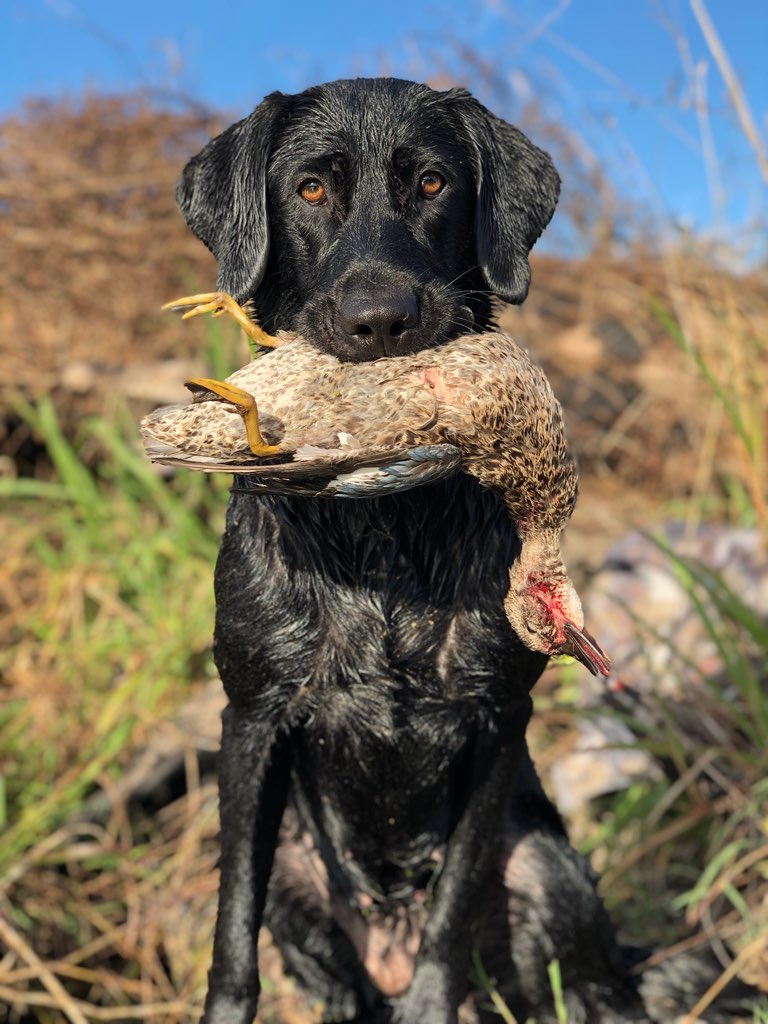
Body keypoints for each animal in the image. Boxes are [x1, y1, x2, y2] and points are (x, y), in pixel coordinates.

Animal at [174, 75, 757, 1019]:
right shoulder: (252, 720)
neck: (384, 537)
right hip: (298, 874)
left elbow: (449, 918)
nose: (380, 320)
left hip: (548, 867)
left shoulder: (497, 721)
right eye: (310, 188)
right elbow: (233, 936)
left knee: (591, 986)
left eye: (433, 182)